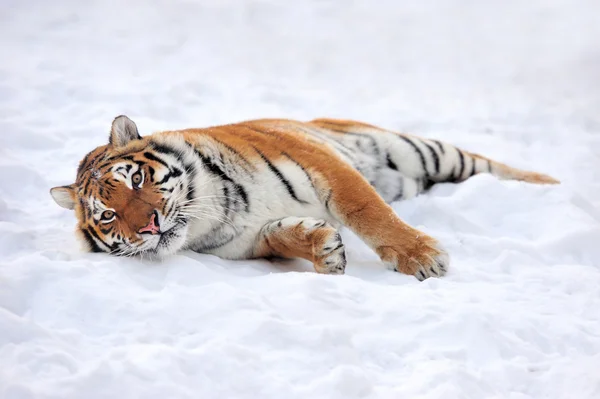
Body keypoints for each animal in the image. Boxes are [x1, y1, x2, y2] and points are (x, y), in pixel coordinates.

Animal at [48, 115, 556, 282]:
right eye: (108, 215)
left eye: (135, 179)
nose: (149, 226)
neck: (211, 213)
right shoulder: (247, 243)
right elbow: (278, 236)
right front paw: (324, 251)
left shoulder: (324, 166)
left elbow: (368, 212)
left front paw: (422, 258)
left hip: (420, 151)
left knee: (494, 166)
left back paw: (551, 186)